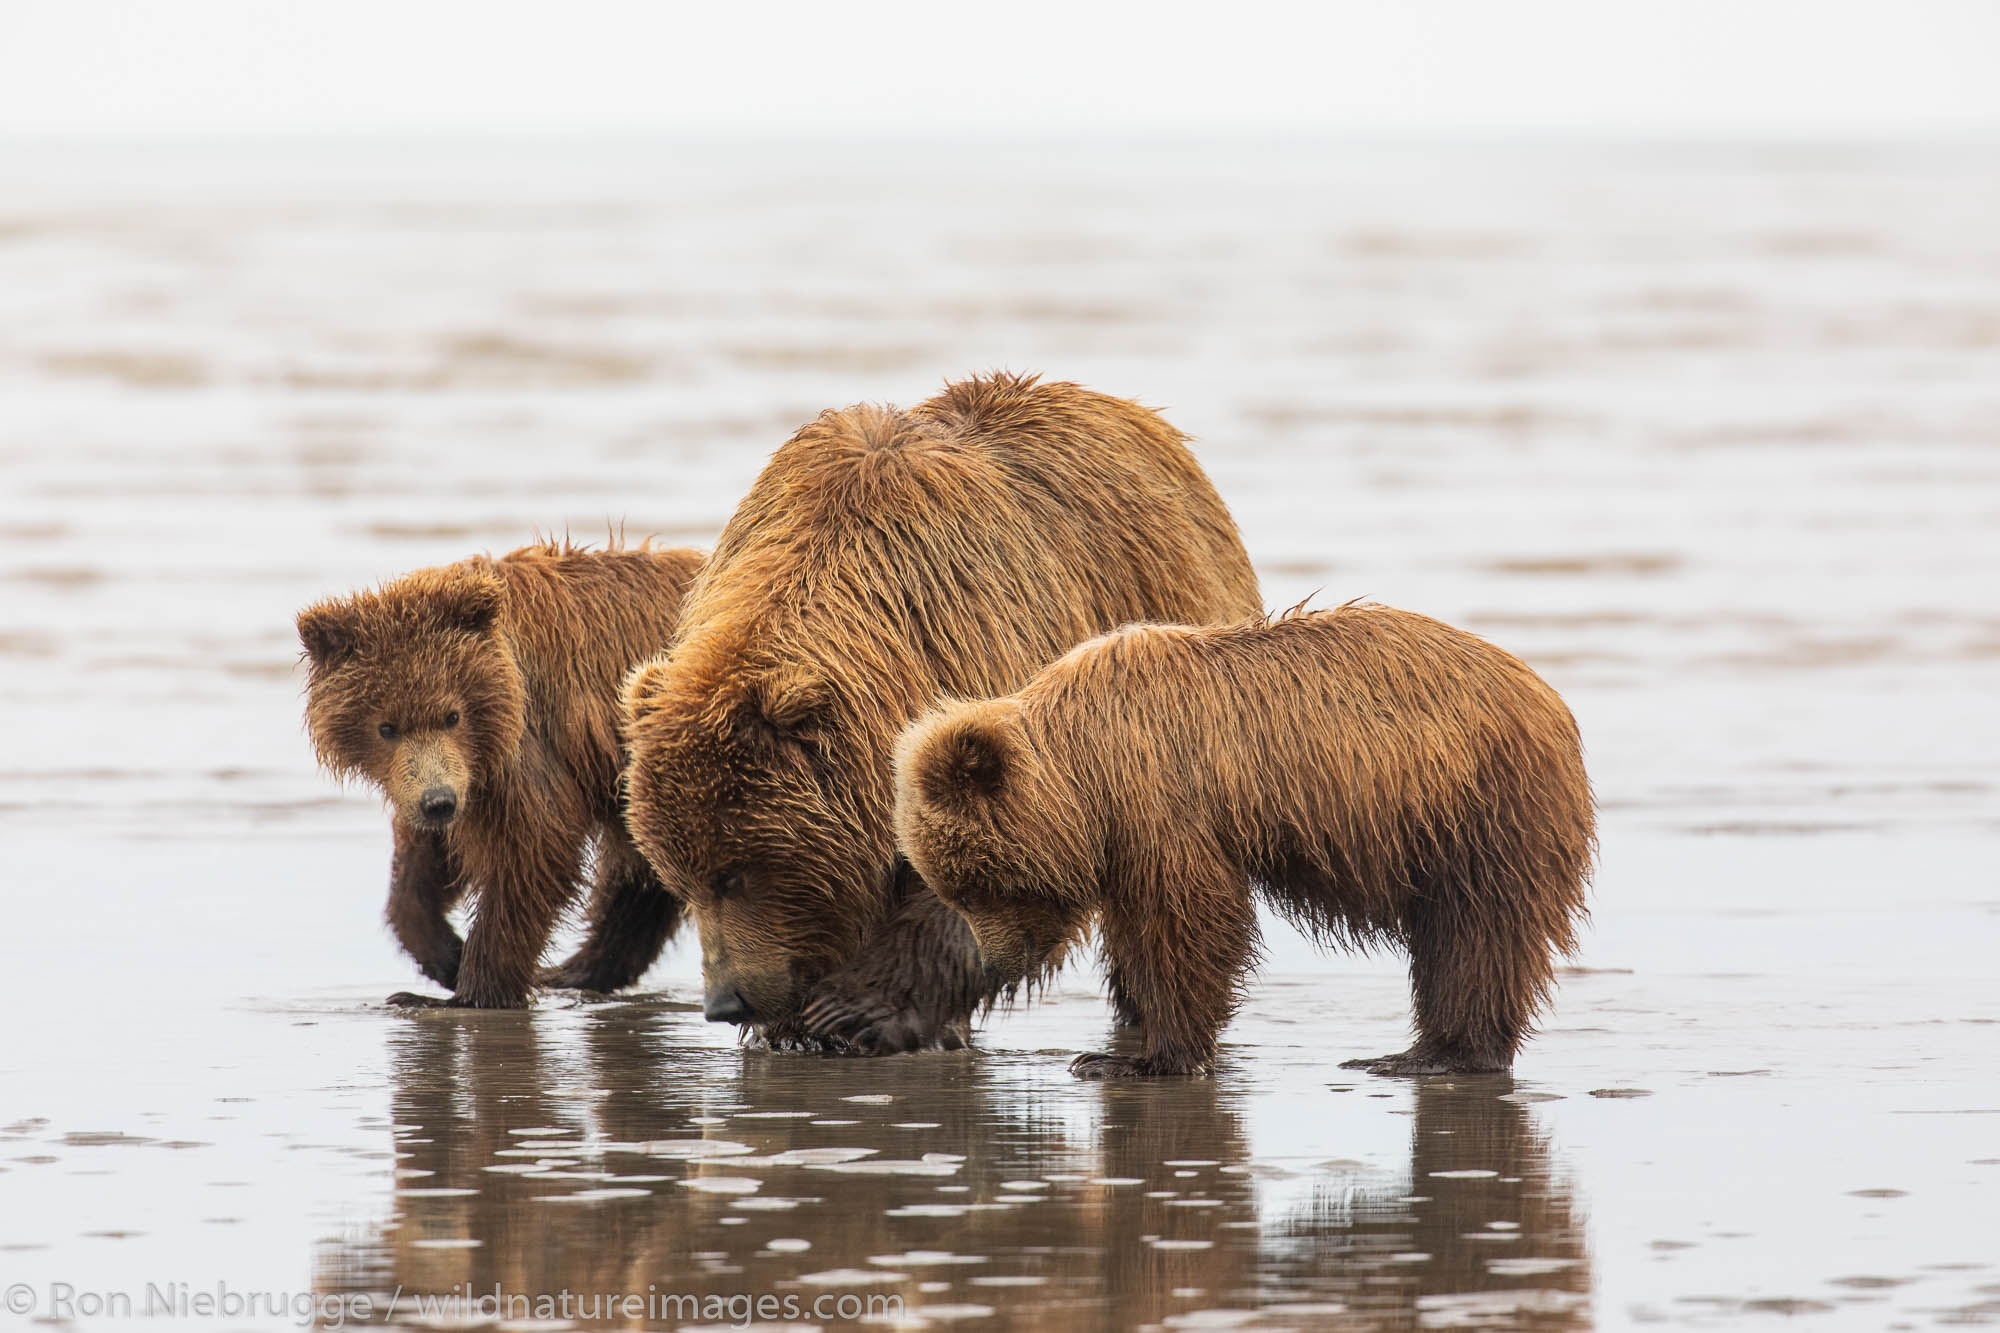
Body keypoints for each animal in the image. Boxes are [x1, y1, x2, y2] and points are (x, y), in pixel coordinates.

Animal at [296, 536, 704, 1000]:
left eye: (452, 715)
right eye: (386, 726)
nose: (438, 801)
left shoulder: (525, 750)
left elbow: (533, 854)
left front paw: (472, 989)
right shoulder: (450, 781)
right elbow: (424, 863)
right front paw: (445, 956)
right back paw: (576, 972)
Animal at [616, 370, 1256, 1048]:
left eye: (735, 873)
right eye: (679, 876)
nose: (725, 1002)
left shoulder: (990, 654)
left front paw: (859, 1008)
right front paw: (797, 1024)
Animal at [892, 600, 1592, 1072]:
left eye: (981, 883)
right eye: (953, 887)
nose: (998, 961)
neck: (1085, 770)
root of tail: (1551, 700)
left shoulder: (1161, 797)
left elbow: (1189, 920)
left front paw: (1138, 1058)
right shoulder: (1126, 836)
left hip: (1477, 807)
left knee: (1478, 931)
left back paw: (1437, 1053)